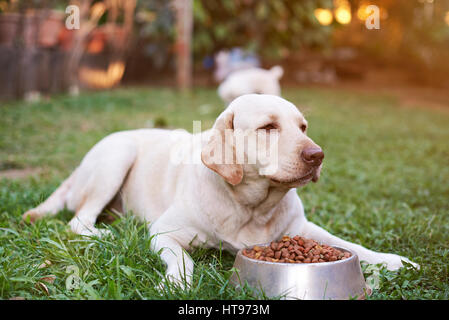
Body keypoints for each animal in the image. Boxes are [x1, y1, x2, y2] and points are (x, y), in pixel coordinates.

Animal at [22, 93, 416, 288]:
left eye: (303, 126)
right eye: (268, 127)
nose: (317, 155)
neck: (252, 206)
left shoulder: (302, 230)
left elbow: (350, 245)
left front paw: (393, 260)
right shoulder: (163, 233)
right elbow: (183, 260)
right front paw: (175, 283)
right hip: (117, 156)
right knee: (78, 222)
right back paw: (106, 234)